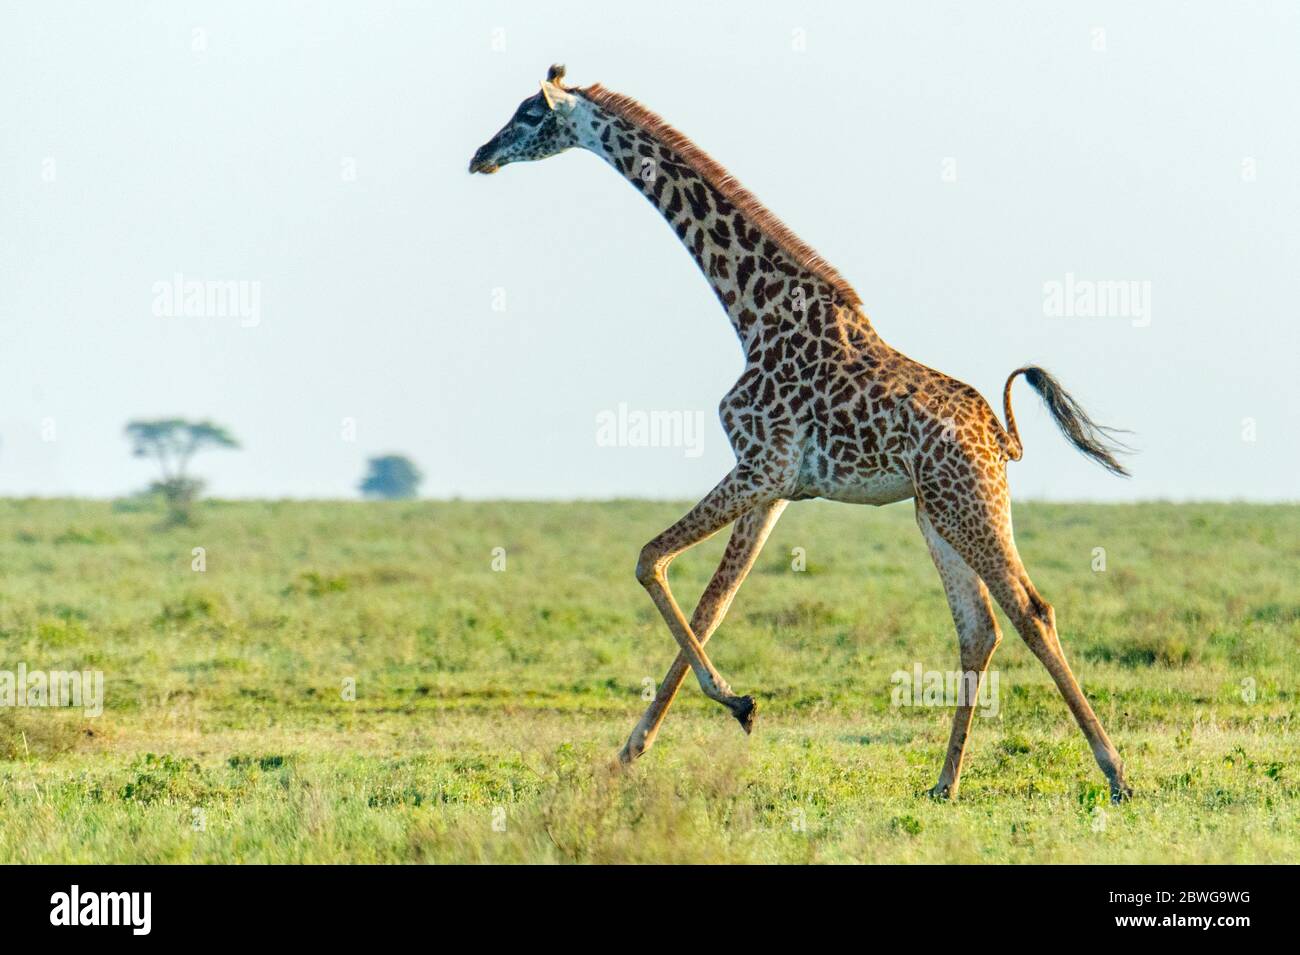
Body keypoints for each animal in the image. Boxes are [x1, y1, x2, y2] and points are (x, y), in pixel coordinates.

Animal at [473, 63, 1133, 805]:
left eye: (529, 115)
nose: (481, 156)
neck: (752, 311)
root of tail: (998, 434)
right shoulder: (775, 489)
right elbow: (710, 604)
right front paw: (632, 753)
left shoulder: (759, 466)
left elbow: (649, 560)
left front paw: (730, 706)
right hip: (936, 510)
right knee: (979, 627)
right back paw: (945, 782)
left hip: (970, 501)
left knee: (1031, 610)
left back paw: (1114, 771)